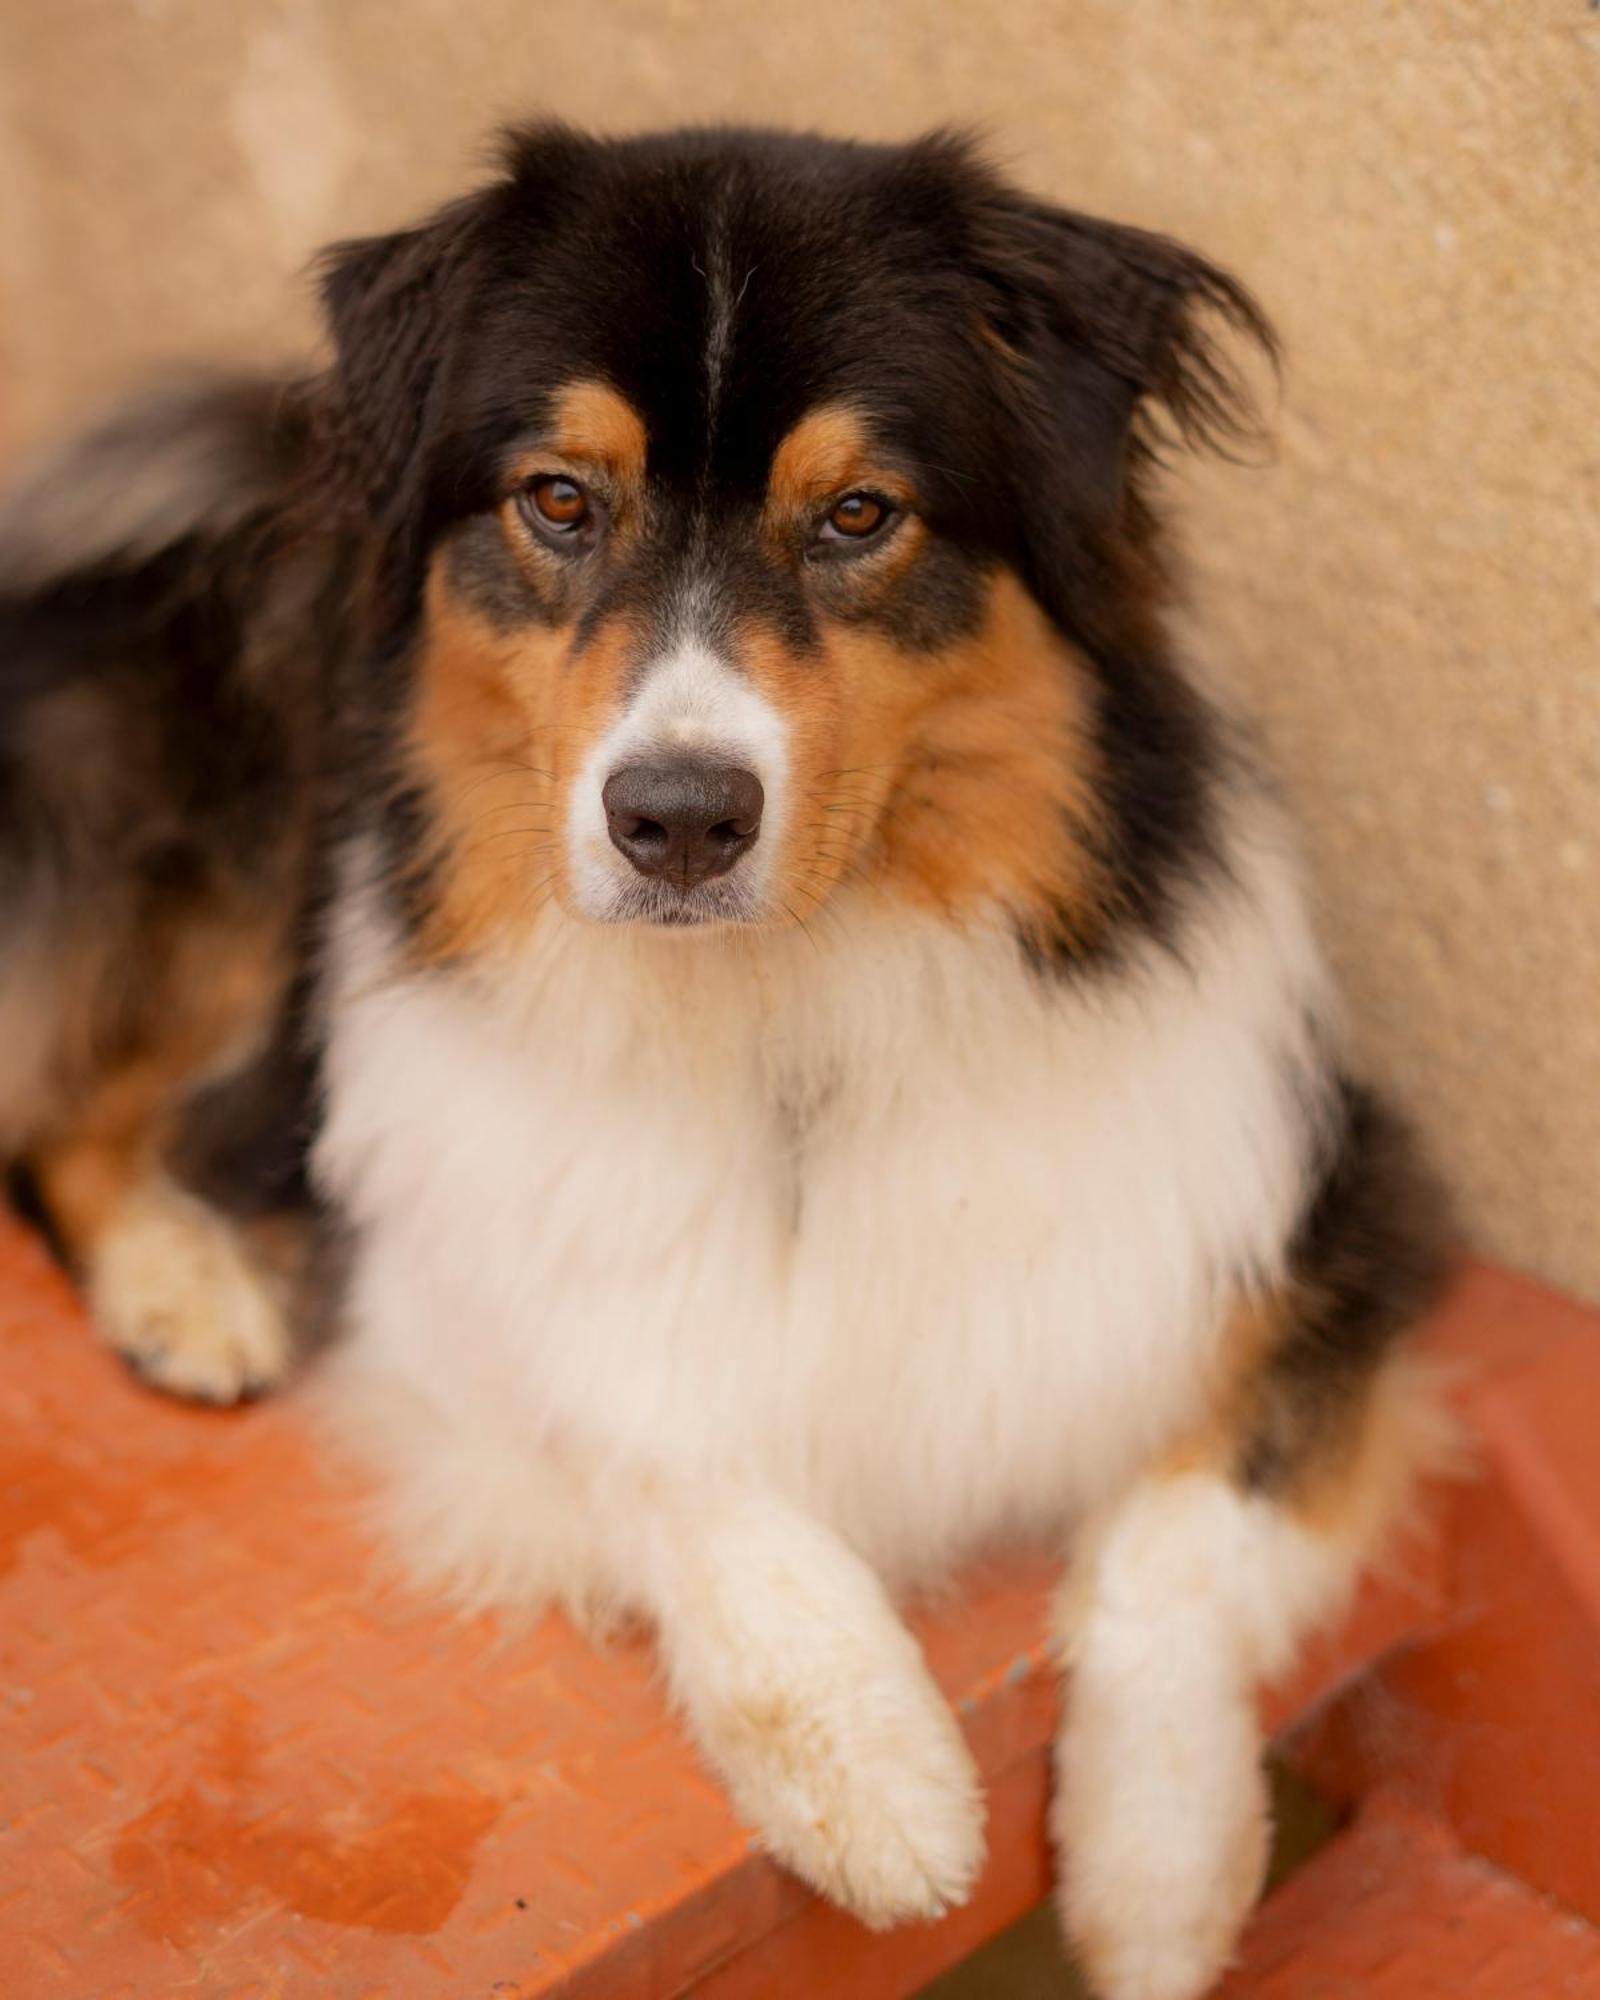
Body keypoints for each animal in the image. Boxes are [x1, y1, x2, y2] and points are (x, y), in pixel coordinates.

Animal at [0, 125, 1448, 2000]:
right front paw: (879, 1779)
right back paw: (192, 1284)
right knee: (66, 1111)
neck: (782, 996)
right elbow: (664, 1433)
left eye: (858, 515)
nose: (676, 818)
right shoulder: (466, 1277)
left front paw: (1163, 1882)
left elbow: (1180, 1547)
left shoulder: (1326, 1215)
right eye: (560, 500)